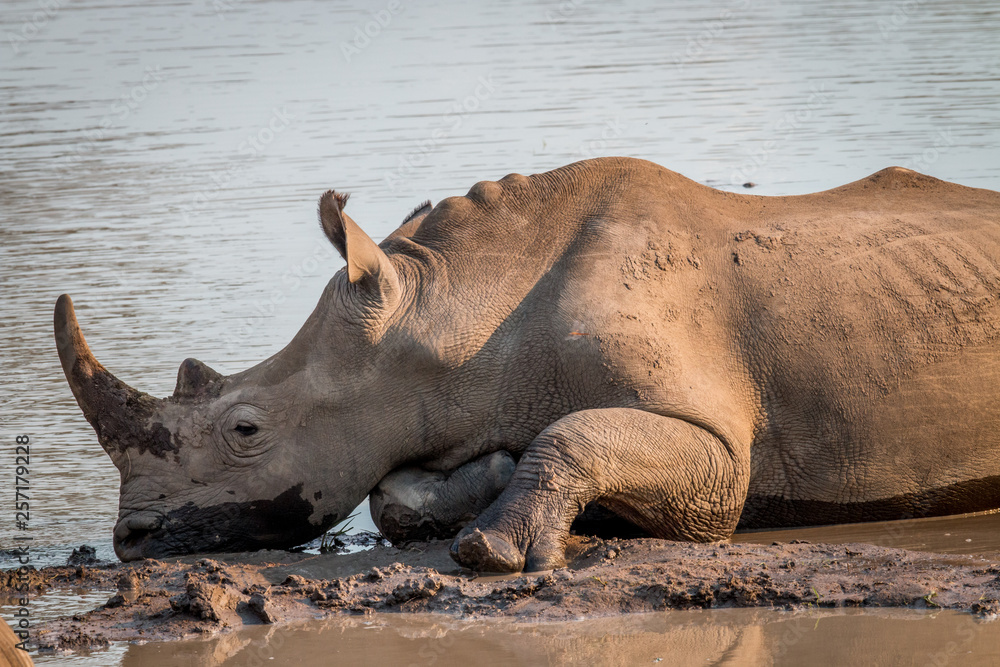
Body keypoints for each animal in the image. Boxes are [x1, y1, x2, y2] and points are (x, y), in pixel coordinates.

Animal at [55, 157, 1000, 572]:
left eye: (245, 428)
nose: (130, 540)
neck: (458, 316)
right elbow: (393, 492)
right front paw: (493, 475)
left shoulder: (720, 450)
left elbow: (577, 432)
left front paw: (490, 550)